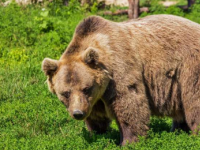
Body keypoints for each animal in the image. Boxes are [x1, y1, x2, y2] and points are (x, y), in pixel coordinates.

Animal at [42, 14, 200, 145]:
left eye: (86, 88)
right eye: (65, 93)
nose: (78, 113)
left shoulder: (119, 70)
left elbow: (129, 104)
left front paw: (128, 141)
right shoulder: (96, 97)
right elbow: (96, 115)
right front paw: (96, 133)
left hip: (189, 67)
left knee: (193, 100)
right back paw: (178, 131)